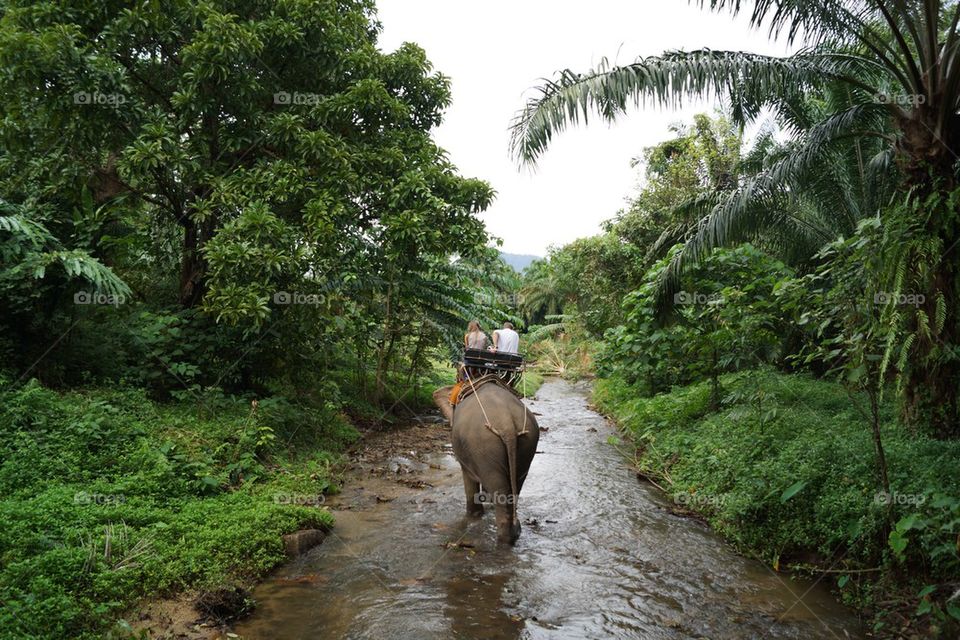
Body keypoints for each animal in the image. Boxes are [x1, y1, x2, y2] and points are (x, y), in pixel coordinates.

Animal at [433, 381, 540, 545]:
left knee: (499, 487)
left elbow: (469, 479)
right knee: (515, 485)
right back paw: (515, 531)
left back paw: (504, 538)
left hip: (483, 445)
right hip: (527, 444)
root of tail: (507, 423)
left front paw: (473, 517)